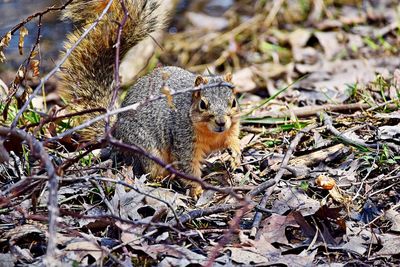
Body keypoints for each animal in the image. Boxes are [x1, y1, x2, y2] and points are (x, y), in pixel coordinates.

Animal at [58, 0, 241, 197]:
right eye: (202, 104)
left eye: (233, 102)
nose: (221, 122)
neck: (212, 133)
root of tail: (115, 134)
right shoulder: (182, 139)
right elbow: (187, 167)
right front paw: (197, 190)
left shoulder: (231, 129)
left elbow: (233, 140)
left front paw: (236, 155)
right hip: (147, 150)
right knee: (152, 171)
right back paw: (165, 178)